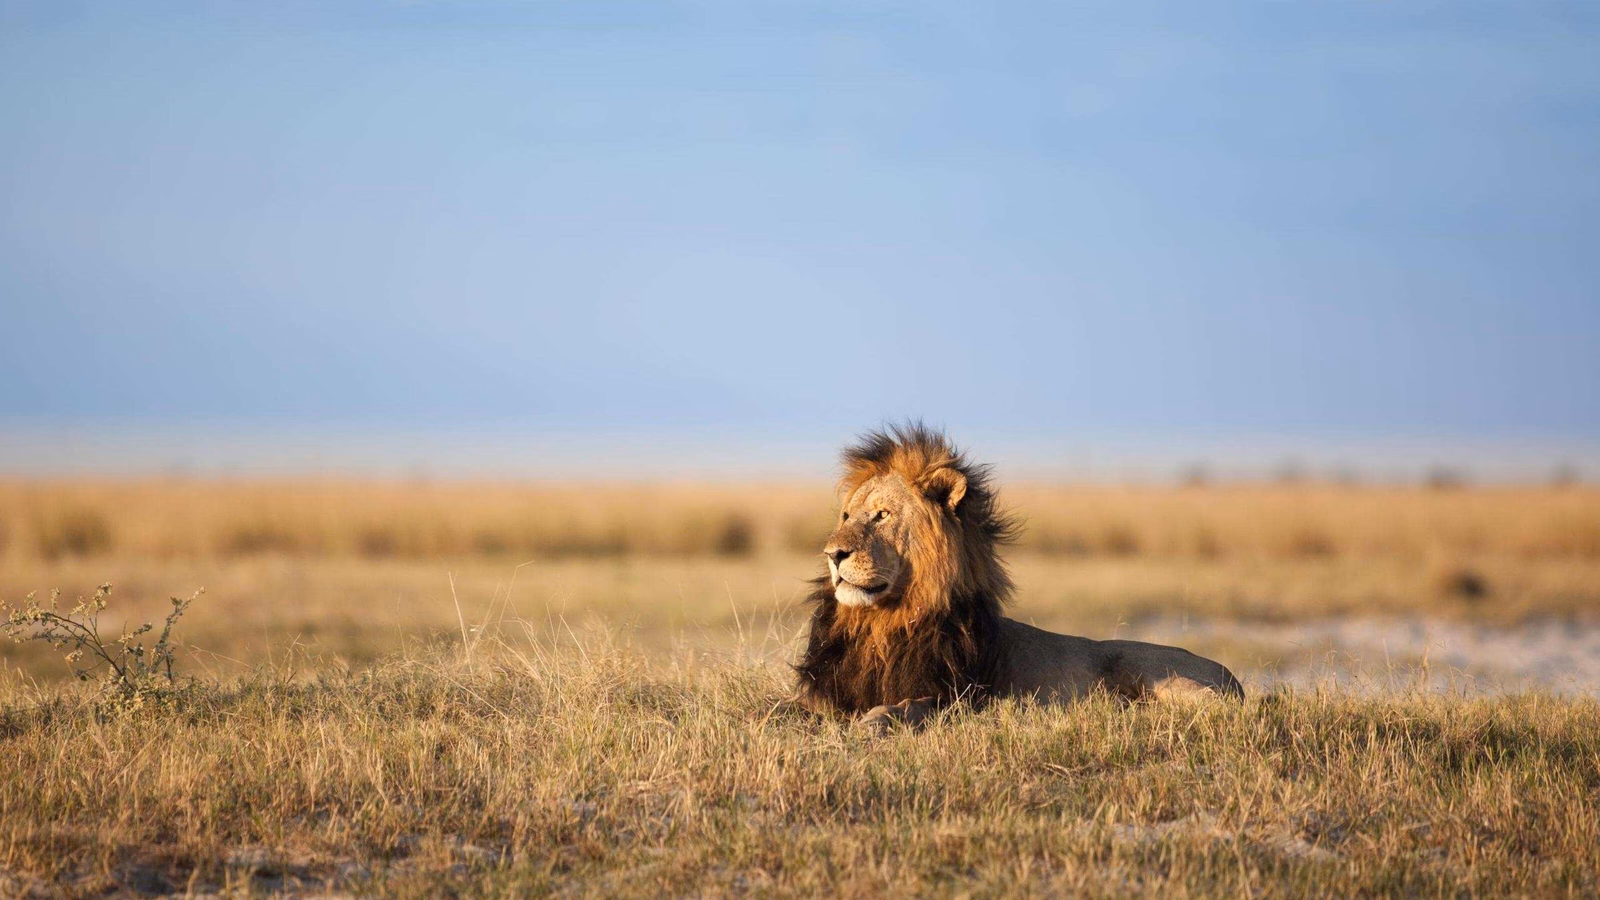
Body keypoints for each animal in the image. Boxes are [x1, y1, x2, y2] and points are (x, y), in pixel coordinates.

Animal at [794, 424, 1243, 734]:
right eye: (846, 516)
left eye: (882, 515)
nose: (833, 554)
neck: (882, 623)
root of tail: (1232, 676)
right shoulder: (827, 695)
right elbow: (785, 707)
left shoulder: (960, 698)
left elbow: (907, 706)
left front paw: (874, 721)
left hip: (1155, 671)